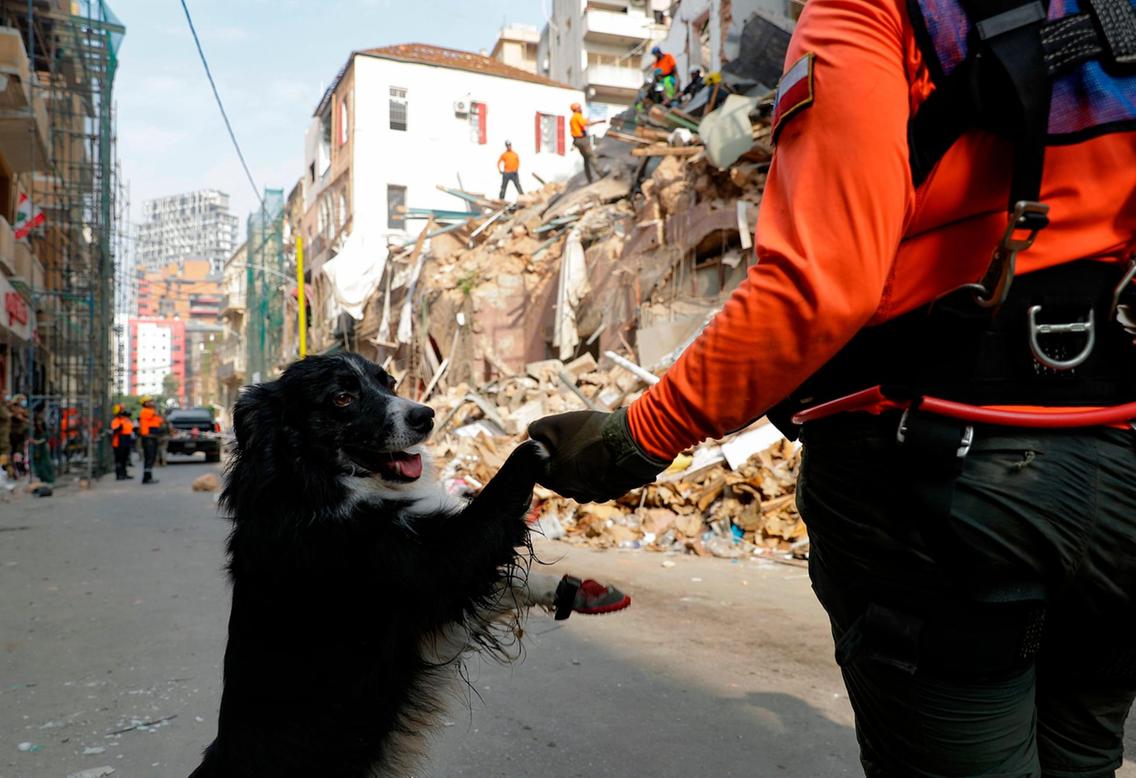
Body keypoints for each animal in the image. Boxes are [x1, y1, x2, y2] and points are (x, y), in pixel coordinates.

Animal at [190, 354, 581, 772]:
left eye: (389, 383)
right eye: (342, 398)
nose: (426, 416)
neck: (312, 485)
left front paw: (565, 592)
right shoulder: (428, 566)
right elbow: (489, 513)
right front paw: (538, 446)